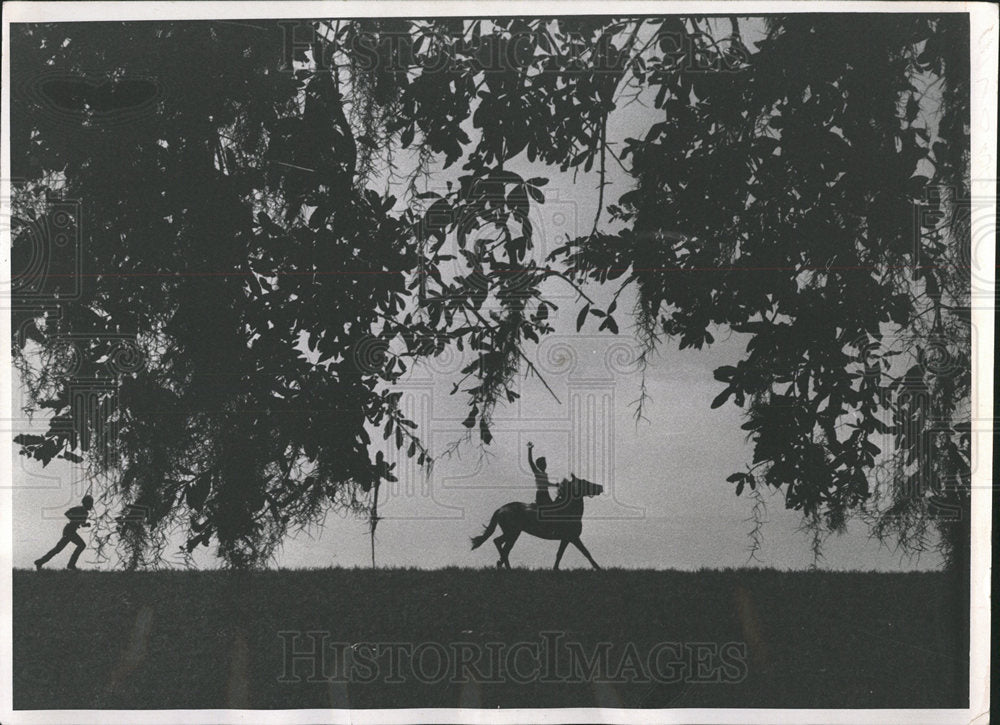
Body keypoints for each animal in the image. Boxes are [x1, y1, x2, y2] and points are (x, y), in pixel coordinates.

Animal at [470, 476, 600, 572]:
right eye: (585, 482)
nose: (601, 487)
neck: (568, 512)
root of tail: (501, 509)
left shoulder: (567, 539)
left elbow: (560, 554)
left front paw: (555, 569)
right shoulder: (572, 537)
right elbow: (586, 552)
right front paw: (598, 568)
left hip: (512, 533)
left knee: (501, 545)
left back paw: (502, 565)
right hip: (512, 533)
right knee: (502, 545)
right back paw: (505, 566)